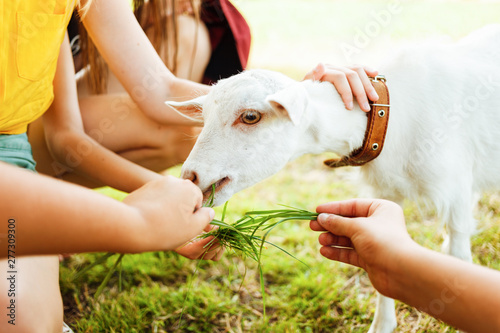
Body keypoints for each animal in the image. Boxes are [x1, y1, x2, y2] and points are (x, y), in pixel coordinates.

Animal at [167, 26, 500, 332]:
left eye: (250, 116)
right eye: (204, 117)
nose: (190, 176)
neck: (391, 119)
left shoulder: (458, 190)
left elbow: (458, 258)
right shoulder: (386, 193)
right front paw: (382, 325)